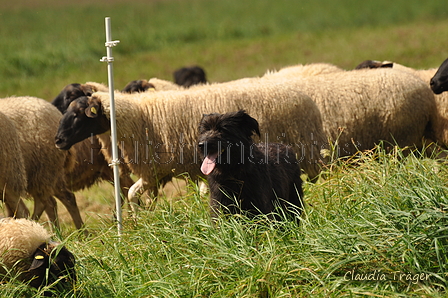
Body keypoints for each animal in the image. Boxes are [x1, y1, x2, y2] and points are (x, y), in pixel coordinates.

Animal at [56, 78, 328, 211]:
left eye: (78, 113)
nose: (58, 140)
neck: (138, 116)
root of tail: (306, 98)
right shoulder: (162, 174)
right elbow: (136, 196)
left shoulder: (153, 173)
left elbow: (132, 195)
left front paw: (140, 217)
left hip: (309, 153)